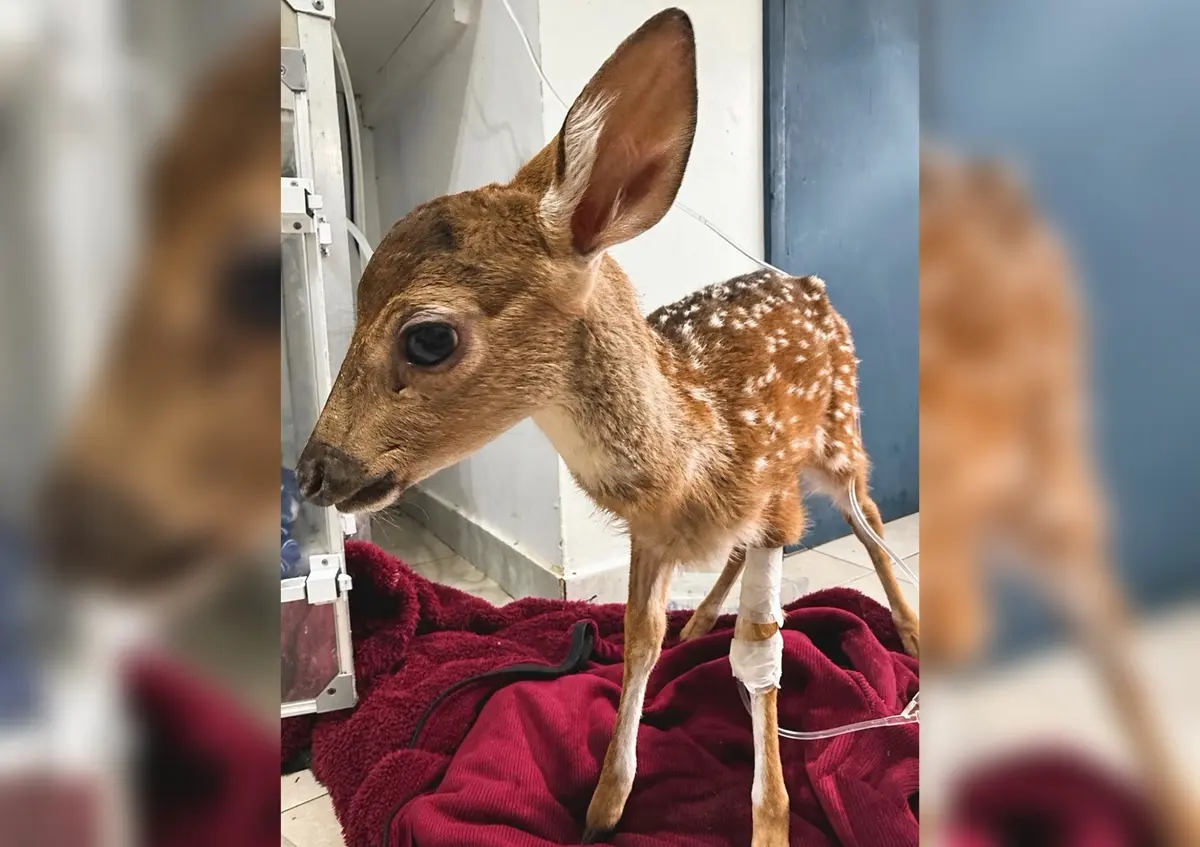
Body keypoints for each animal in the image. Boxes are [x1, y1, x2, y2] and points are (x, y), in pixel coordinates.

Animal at [296, 9, 919, 845]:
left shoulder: (774, 502)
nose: (313, 469)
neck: (689, 457)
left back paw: (909, 630)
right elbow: (636, 641)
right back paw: (700, 622)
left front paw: (770, 820)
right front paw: (602, 806)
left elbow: (760, 656)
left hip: (838, 434)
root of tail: (811, 284)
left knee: (871, 519)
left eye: (427, 337)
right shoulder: (651, 536)